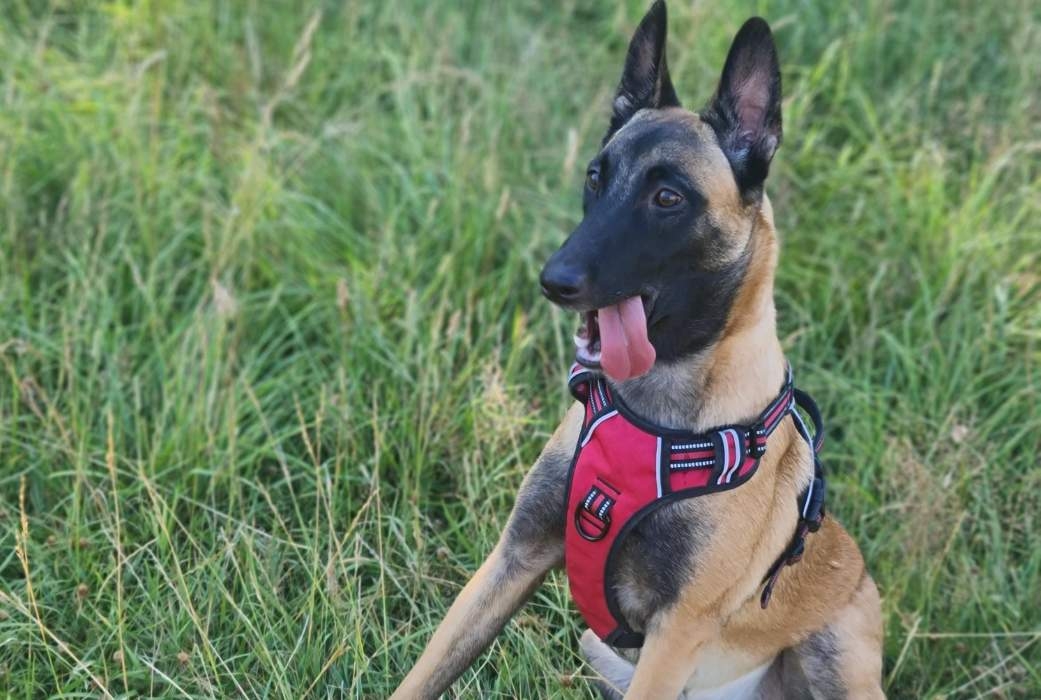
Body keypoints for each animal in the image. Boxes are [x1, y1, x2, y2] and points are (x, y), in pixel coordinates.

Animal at [393, 2, 882, 695]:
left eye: (668, 198)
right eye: (596, 178)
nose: (554, 280)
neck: (658, 413)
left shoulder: (673, 635)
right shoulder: (511, 560)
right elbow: (424, 673)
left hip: (834, 660)